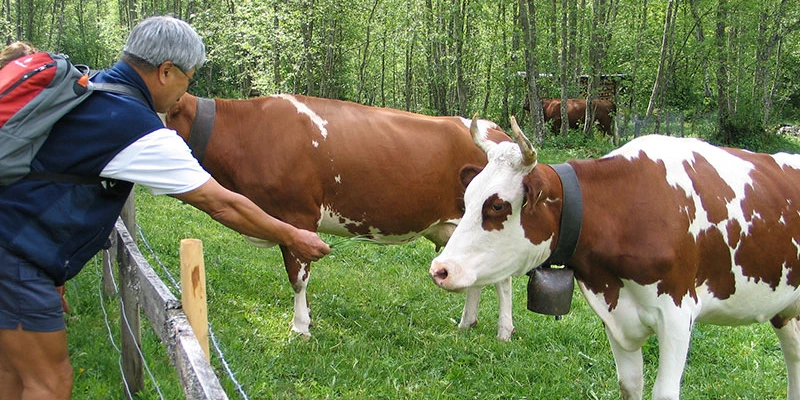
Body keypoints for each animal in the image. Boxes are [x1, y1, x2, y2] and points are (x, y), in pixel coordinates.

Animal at [164, 93, 518, 339]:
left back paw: (504, 331)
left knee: (503, 280)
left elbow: (298, 278)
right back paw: (466, 323)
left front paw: (300, 328)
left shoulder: (296, 216)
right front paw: (305, 320)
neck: (248, 132)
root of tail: (500, 133)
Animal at [429, 117, 800, 399]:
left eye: (496, 205)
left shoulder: (677, 314)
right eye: (467, 197)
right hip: (785, 310)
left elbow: (664, 392)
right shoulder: (616, 315)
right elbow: (629, 385)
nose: (440, 269)